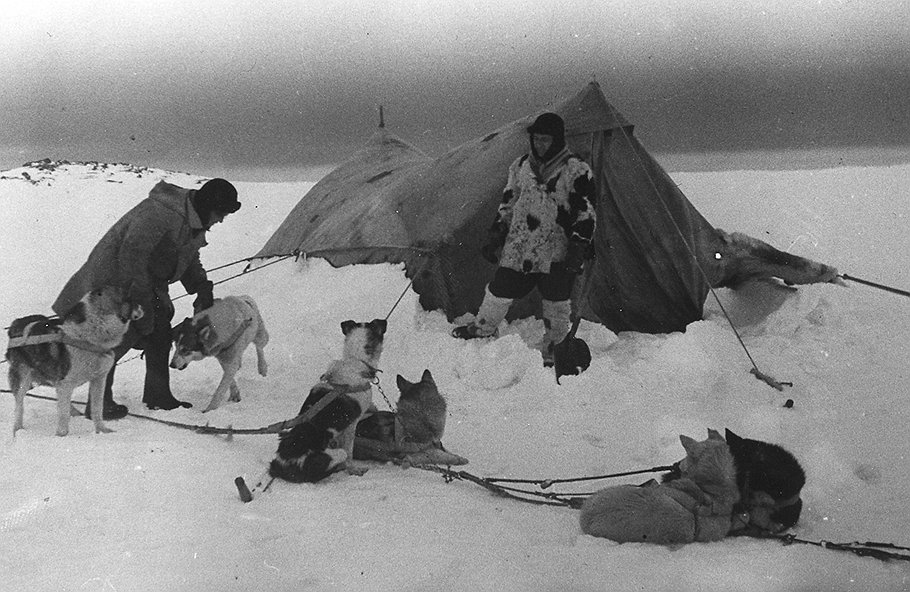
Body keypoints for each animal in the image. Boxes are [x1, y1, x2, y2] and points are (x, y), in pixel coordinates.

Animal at [4, 286, 144, 434]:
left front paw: (102, 430)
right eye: (129, 298)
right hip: (22, 378)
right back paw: (18, 430)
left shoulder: (98, 380)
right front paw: (61, 435)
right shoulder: (66, 383)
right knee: (19, 406)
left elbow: (97, 409)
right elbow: (63, 415)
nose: (142, 307)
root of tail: (15, 324)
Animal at [268, 322, 386, 484]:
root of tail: (280, 467)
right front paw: (353, 469)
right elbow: (349, 452)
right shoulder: (352, 424)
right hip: (332, 456)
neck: (355, 359)